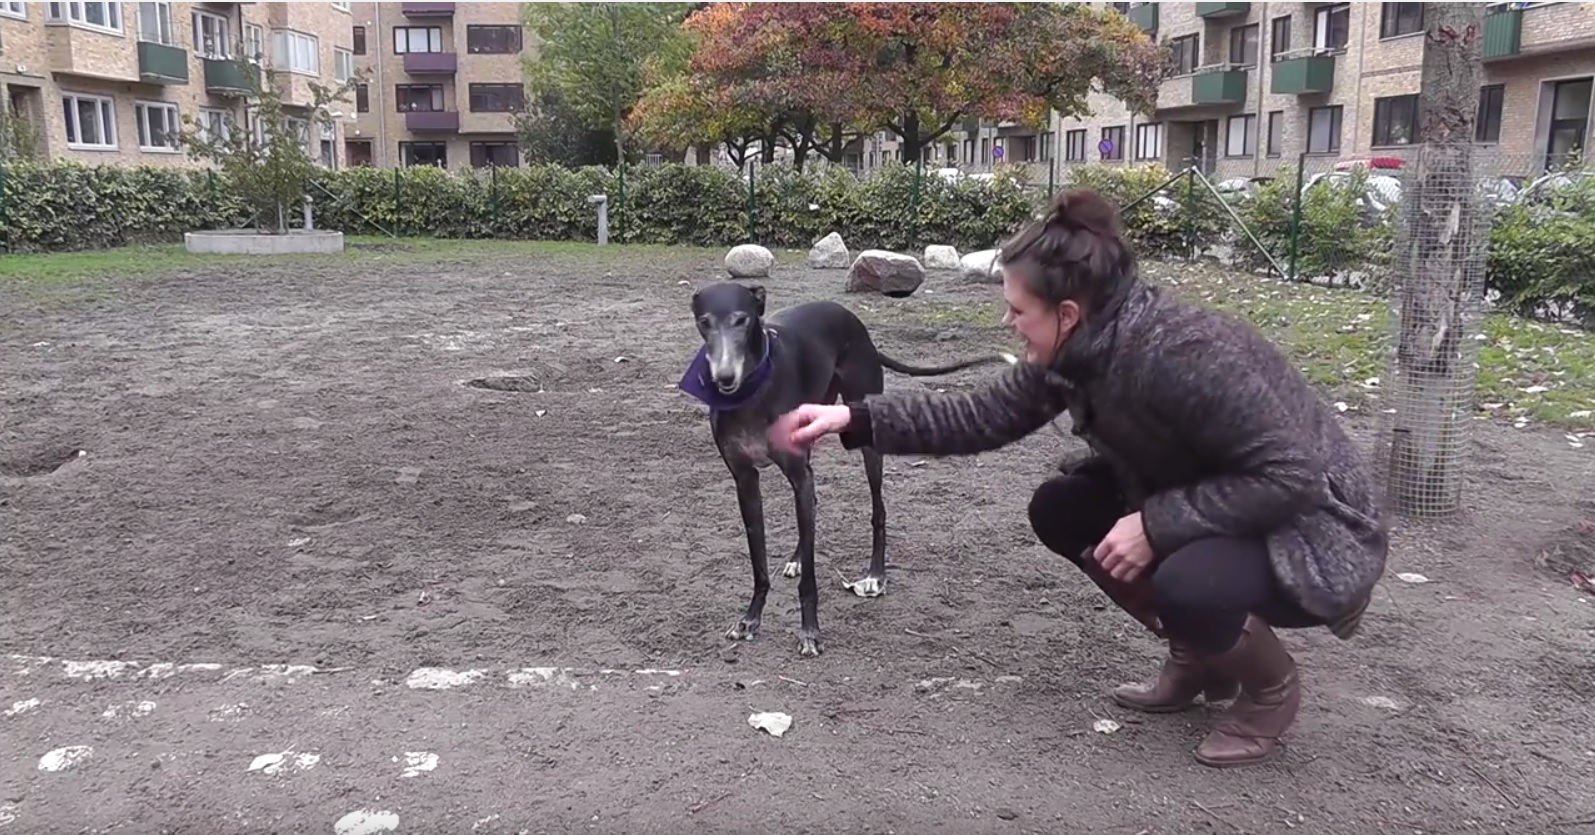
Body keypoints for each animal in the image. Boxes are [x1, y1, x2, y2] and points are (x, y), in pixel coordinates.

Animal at [676, 282, 1008, 659]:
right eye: (704, 322)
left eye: (741, 320)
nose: (724, 377)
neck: (754, 390)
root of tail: (854, 320)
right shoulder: (745, 482)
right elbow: (759, 561)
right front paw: (751, 619)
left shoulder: (797, 473)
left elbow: (810, 581)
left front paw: (810, 631)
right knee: (812, 508)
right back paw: (798, 558)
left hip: (866, 436)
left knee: (878, 510)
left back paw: (875, 576)